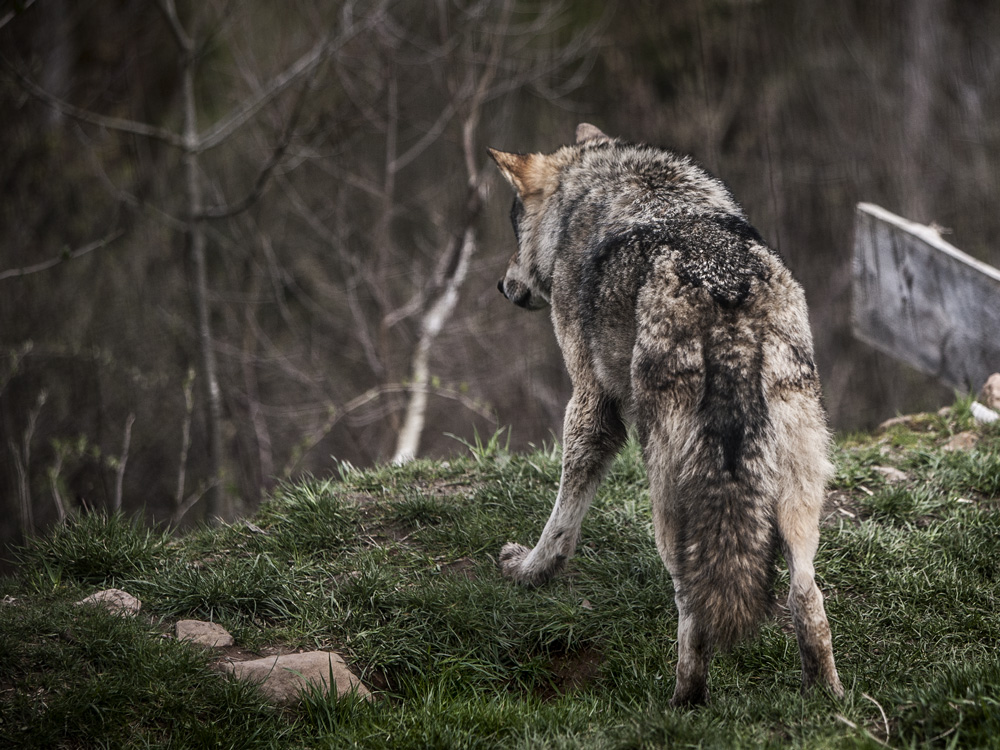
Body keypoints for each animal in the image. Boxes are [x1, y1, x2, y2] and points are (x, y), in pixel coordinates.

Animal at [489, 123, 843, 707]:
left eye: (514, 227)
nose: (502, 286)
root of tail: (728, 298)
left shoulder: (590, 402)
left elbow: (562, 516)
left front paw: (530, 571)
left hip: (669, 497)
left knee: (694, 607)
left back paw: (683, 703)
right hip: (799, 497)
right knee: (806, 596)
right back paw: (827, 697)